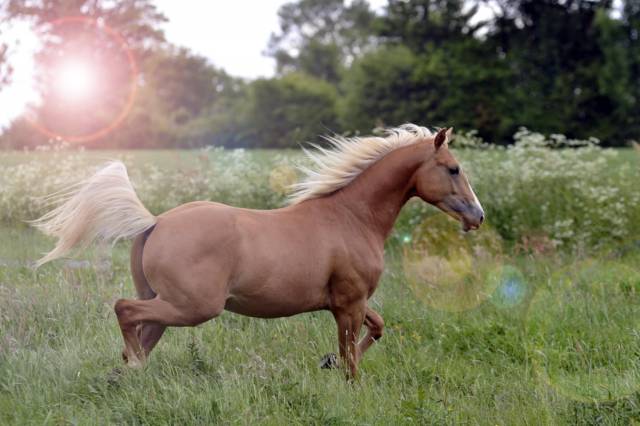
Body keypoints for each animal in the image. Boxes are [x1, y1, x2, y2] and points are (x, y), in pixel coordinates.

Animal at [33, 125, 484, 379]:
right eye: (454, 168)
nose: (477, 216)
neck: (352, 217)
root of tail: (156, 221)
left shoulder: (348, 303)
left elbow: (377, 328)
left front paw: (328, 363)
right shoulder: (349, 304)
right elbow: (353, 358)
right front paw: (344, 378)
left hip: (169, 304)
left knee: (140, 331)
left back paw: (128, 373)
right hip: (193, 306)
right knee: (124, 310)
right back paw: (133, 365)